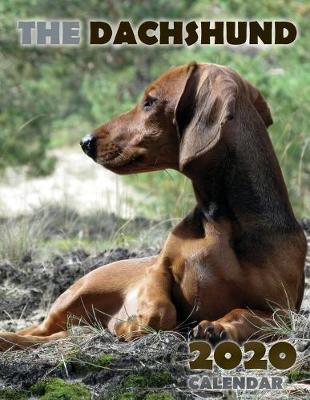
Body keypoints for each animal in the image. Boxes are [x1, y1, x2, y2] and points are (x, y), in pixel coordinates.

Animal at [0, 62, 306, 350]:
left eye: (150, 101)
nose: (85, 142)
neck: (221, 221)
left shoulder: (281, 311)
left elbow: (245, 313)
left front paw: (217, 327)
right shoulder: (157, 271)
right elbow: (161, 310)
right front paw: (131, 324)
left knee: (55, 335)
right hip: (75, 296)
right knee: (36, 331)